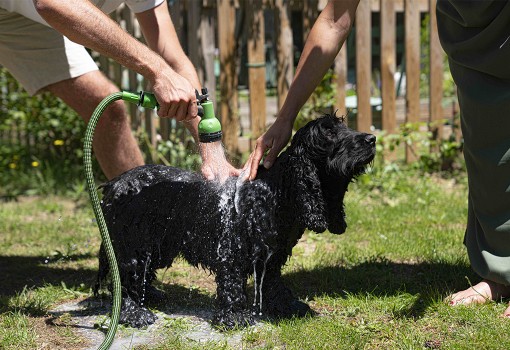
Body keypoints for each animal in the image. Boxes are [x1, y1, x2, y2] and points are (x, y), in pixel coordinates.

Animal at [94, 114, 374, 328]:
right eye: (329, 133)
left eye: (345, 126)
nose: (372, 139)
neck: (275, 192)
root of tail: (113, 185)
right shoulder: (232, 251)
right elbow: (232, 286)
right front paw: (234, 317)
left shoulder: (273, 256)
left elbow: (273, 283)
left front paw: (286, 306)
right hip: (133, 246)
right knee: (125, 281)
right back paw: (135, 313)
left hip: (158, 245)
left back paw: (151, 295)